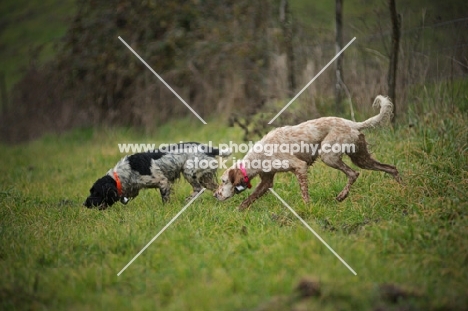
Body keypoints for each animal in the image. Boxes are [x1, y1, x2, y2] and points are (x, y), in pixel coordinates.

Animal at [85, 143, 231, 211]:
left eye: (96, 193)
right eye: (91, 191)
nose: (84, 204)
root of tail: (209, 148)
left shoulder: (163, 182)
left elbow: (165, 199)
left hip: (189, 171)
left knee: (198, 189)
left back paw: (188, 200)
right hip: (205, 178)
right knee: (215, 188)